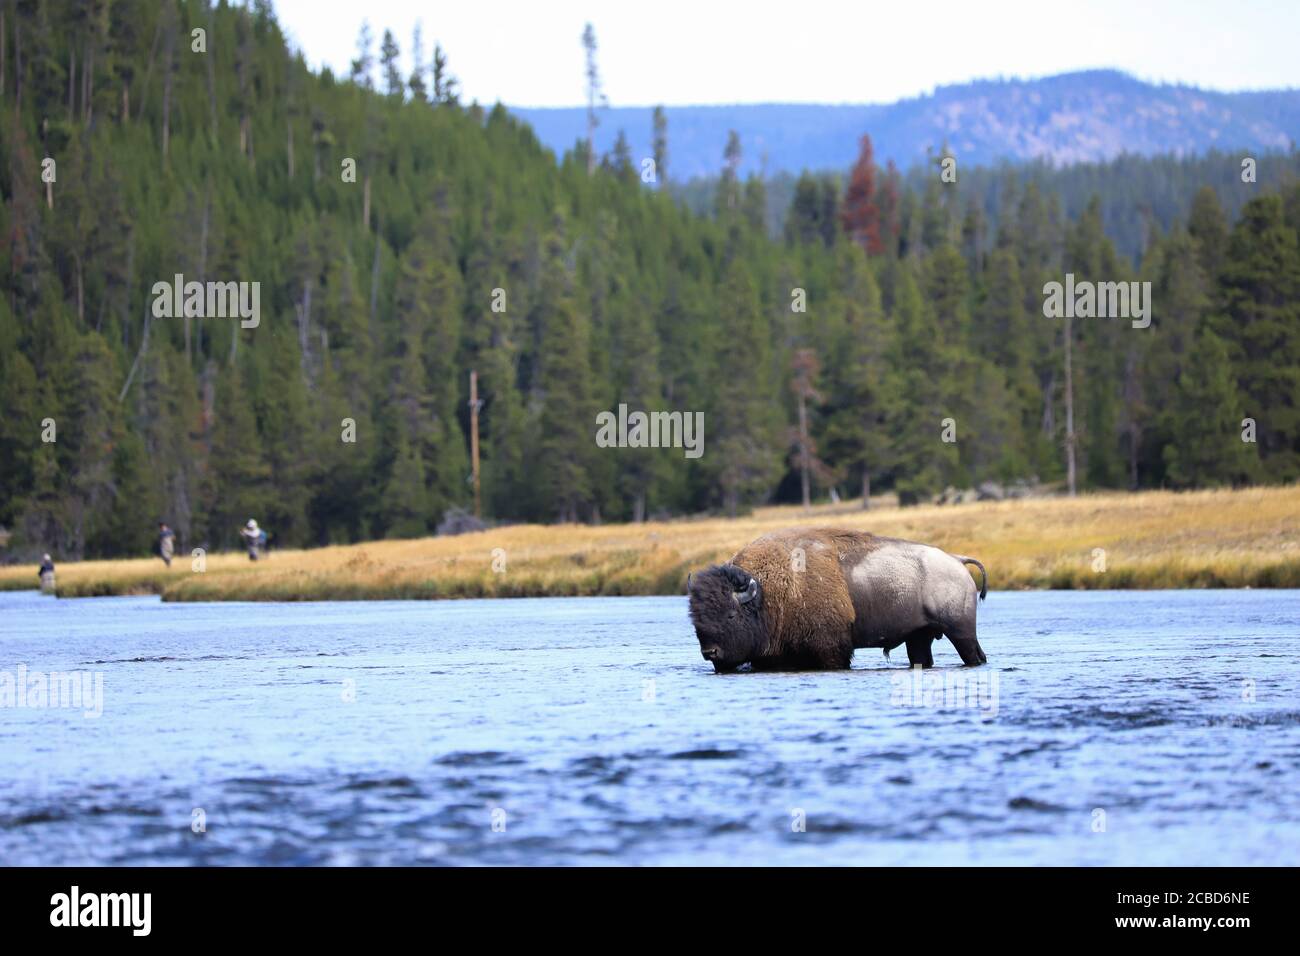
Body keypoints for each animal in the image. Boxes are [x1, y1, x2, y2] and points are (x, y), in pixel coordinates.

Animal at [691, 528, 982, 676]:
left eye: (731, 615)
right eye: (695, 621)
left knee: (975, 655)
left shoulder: (830, 650)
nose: (710, 653)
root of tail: (956, 559)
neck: (766, 594)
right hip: (919, 636)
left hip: (961, 632)